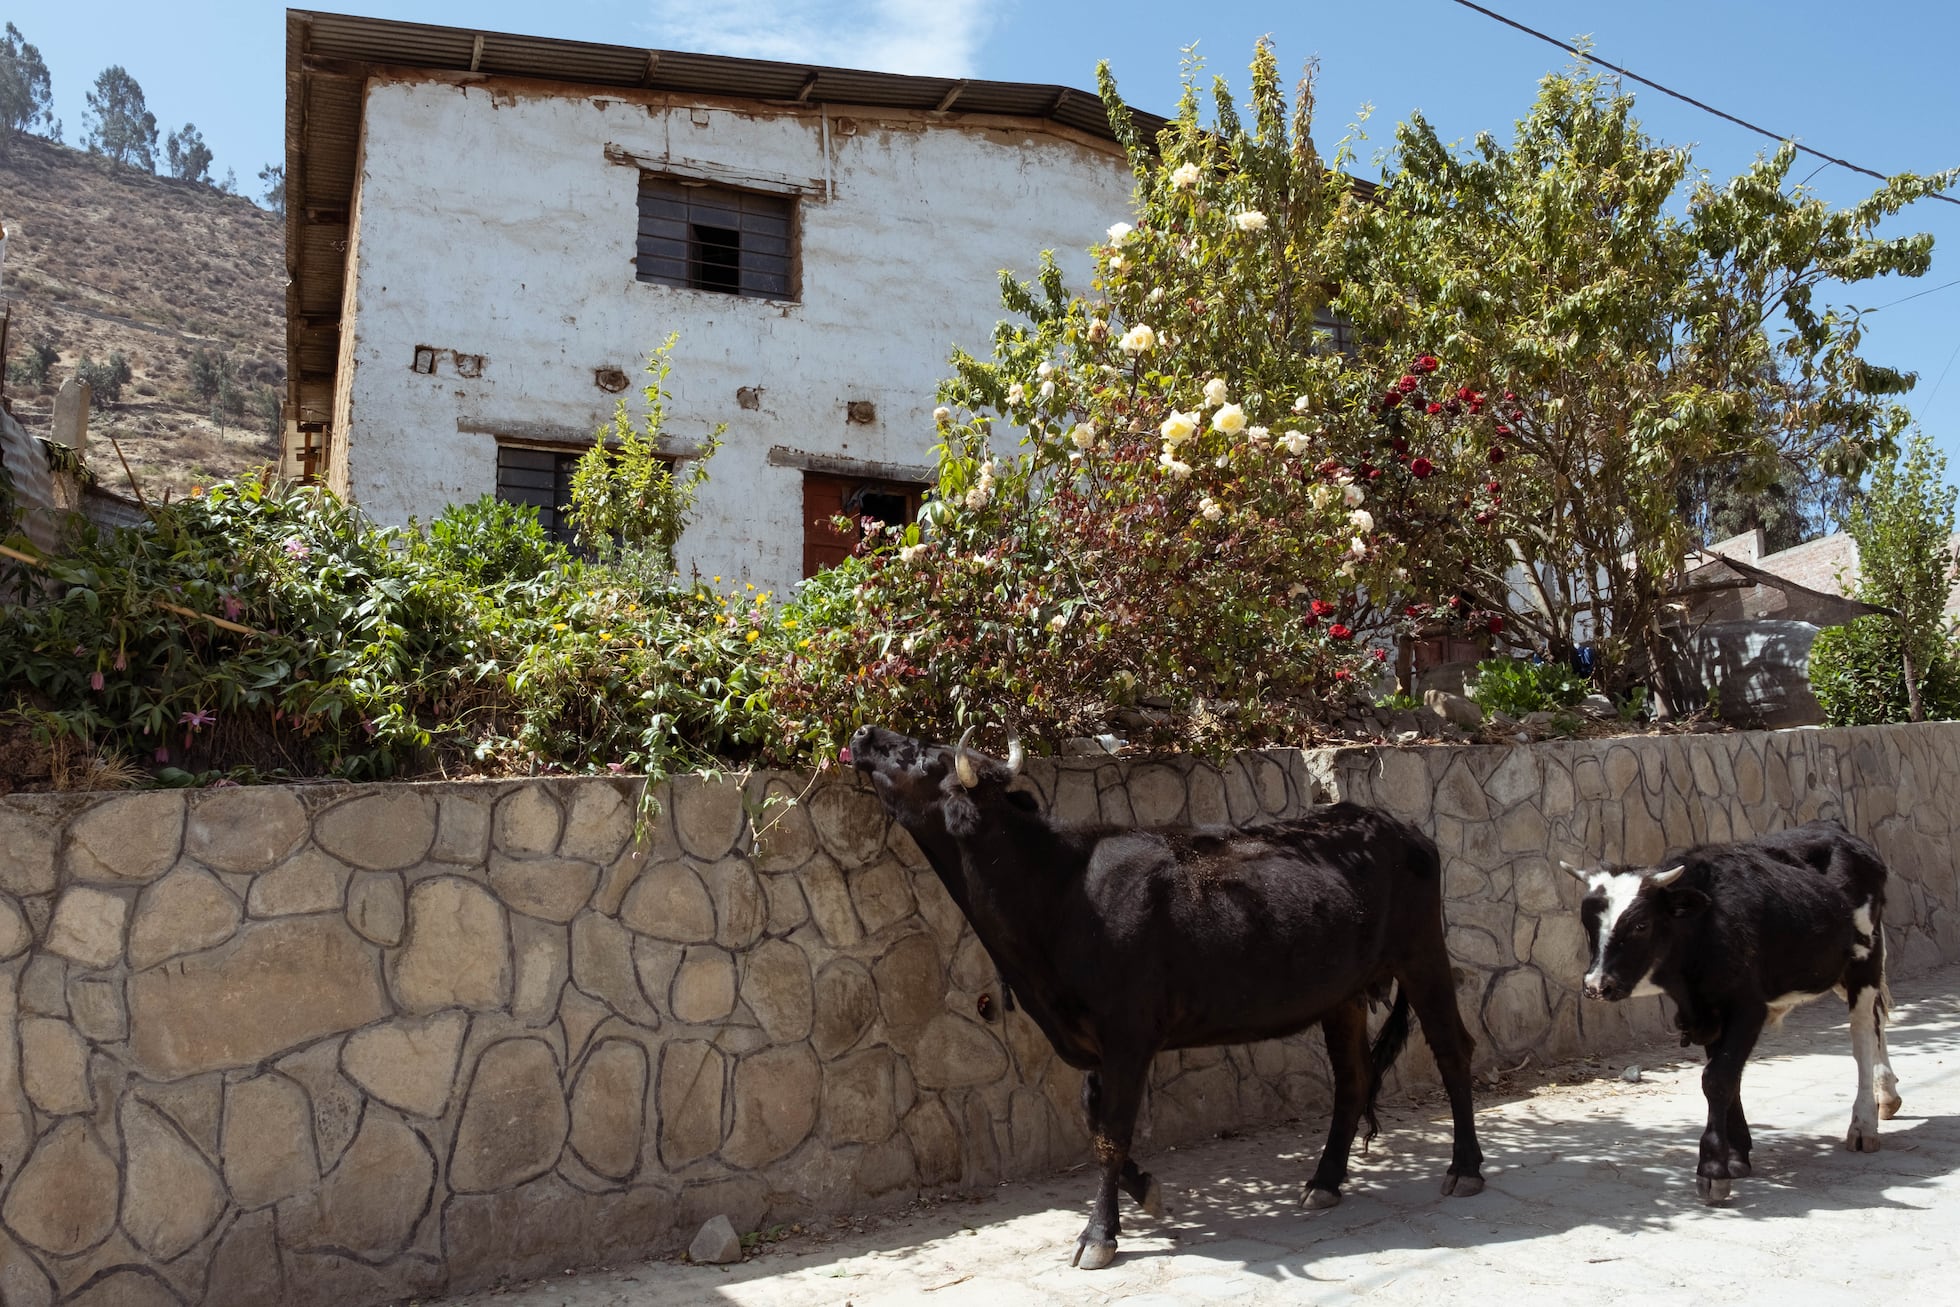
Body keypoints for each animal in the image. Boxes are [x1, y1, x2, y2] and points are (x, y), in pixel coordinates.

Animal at [846, 725, 1481, 1269]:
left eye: (926, 758)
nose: (864, 734)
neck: (1058, 893)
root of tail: (1395, 824)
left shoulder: (1128, 1032)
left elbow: (1110, 1133)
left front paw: (1098, 1235)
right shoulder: (1094, 1039)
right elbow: (1093, 1117)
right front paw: (1145, 1189)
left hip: (1423, 956)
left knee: (1453, 1051)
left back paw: (1466, 1169)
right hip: (1343, 994)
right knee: (1353, 1078)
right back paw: (1323, 1182)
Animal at [1560, 822, 1897, 1199]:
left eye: (1640, 925)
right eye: (1588, 923)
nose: (1596, 985)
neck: (1705, 929)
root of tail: (1832, 826)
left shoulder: (1748, 1008)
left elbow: (1718, 1079)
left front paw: (1712, 1168)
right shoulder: (1706, 1015)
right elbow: (1728, 1079)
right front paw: (1737, 1155)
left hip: (1864, 962)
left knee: (1862, 1035)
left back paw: (1864, 1124)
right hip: (1835, 971)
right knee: (1878, 1018)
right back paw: (1888, 1095)